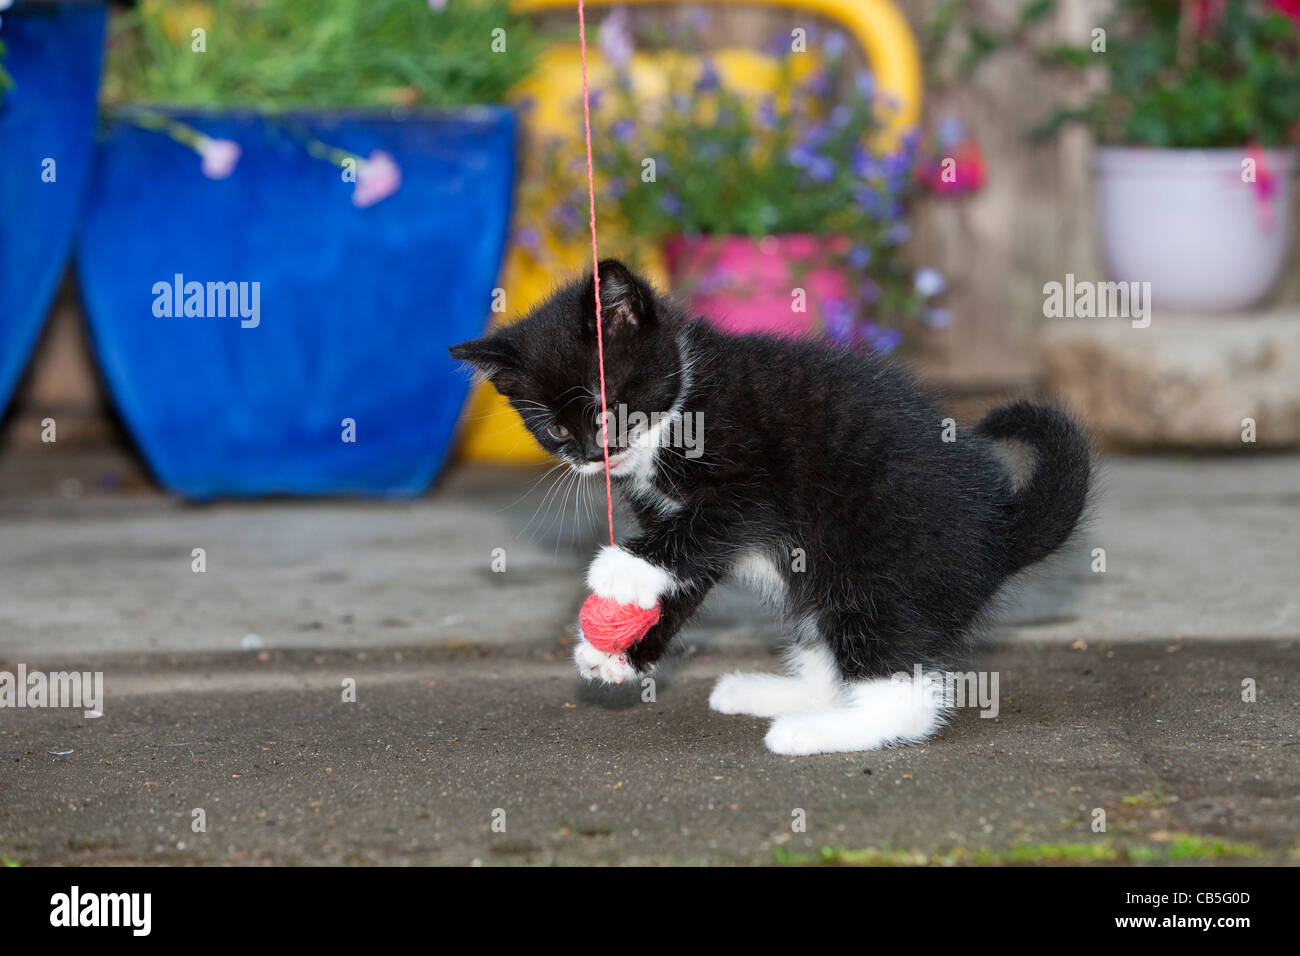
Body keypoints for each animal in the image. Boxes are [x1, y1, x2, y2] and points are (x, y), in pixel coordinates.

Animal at [452, 260, 1092, 754]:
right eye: (557, 430)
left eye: (607, 408)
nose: (590, 456)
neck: (682, 402)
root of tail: (999, 533)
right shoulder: (674, 518)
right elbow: (685, 570)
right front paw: (622, 650)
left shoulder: (755, 486)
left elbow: (702, 528)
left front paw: (620, 570)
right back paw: (777, 695)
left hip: (877, 564)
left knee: (901, 689)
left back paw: (815, 731)